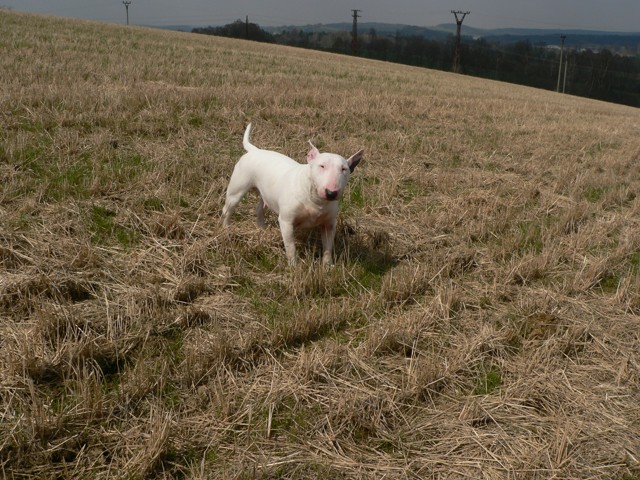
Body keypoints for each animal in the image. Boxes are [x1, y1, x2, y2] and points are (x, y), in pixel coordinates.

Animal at [222, 124, 363, 265]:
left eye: (344, 169)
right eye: (322, 166)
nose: (331, 193)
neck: (315, 200)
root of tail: (254, 150)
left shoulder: (329, 224)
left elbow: (328, 247)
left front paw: (327, 266)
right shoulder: (286, 222)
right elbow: (290, 247)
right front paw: (293, 266)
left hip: (267, 193)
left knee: (260, 207)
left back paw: (262, 228)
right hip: (237, 189)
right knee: (228, 208)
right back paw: (226, 229)